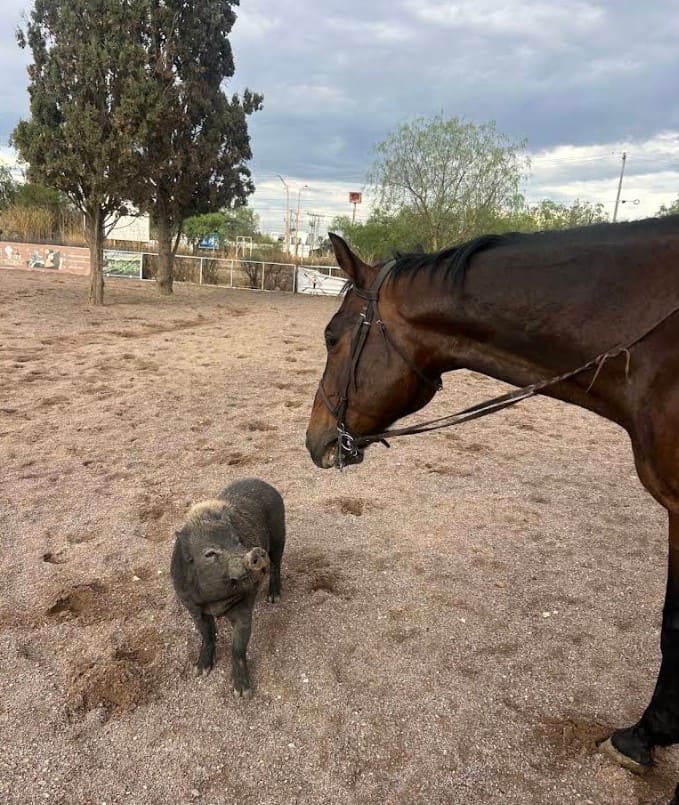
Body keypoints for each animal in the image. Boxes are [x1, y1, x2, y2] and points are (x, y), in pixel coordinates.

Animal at [170, 478, 285, 698]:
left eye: (238, 540)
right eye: (209, 553)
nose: (256, 552)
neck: (214, 599)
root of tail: (262, 481)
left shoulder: (244, 608)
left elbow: (238, 648)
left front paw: (242, 692)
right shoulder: (192, 606)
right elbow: (206, 634)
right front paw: (201, 671)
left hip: (279, 535)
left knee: (276, 564)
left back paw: (273, 598)